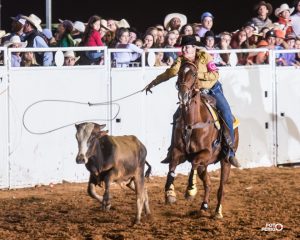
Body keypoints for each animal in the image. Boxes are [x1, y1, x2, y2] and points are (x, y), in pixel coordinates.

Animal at [164, 60, 239, 219]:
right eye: (179, 72)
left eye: (193, 74)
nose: (184, 95)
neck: (192, 122)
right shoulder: (178, 152)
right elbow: (172, 167)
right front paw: (170, 194)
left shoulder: (205, 153)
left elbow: (193, 163)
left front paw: (190, 190)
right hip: (204, 166)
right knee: (208, 183)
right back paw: (204, 206)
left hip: (225, 161)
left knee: (221, 188)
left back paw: (218, 212)